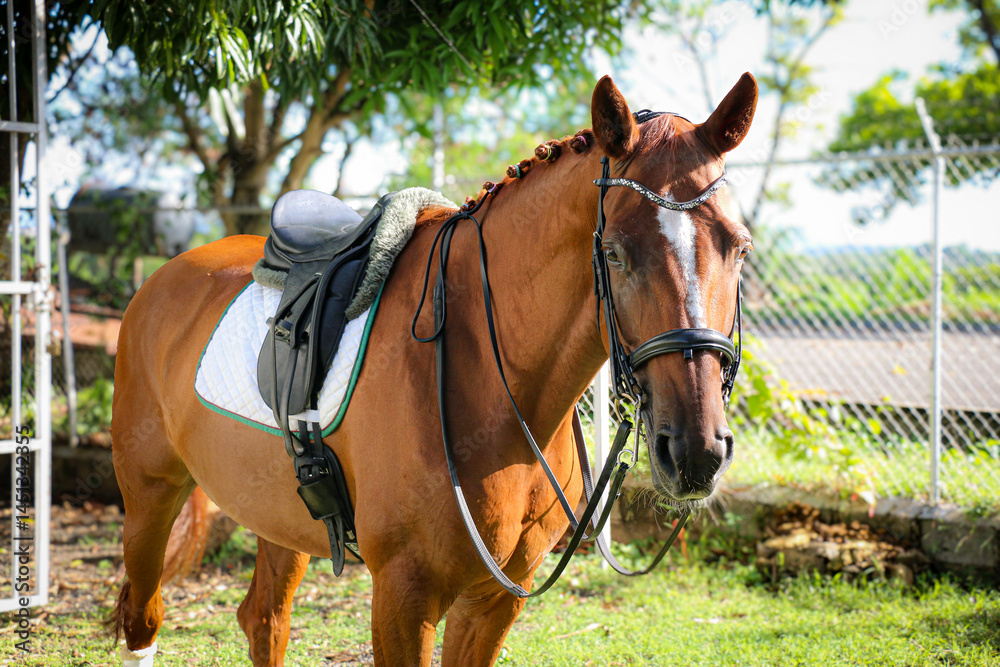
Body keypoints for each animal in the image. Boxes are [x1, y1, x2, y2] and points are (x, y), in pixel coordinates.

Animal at [109, 73, 758, 666]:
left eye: (740, 247)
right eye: (616, 252)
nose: (697, 451)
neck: (493, 382)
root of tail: (164, 275)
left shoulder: (494, 601)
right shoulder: (405, 597)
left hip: (278, 516)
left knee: (264, 620)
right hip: (148, 497)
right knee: (144, 618)